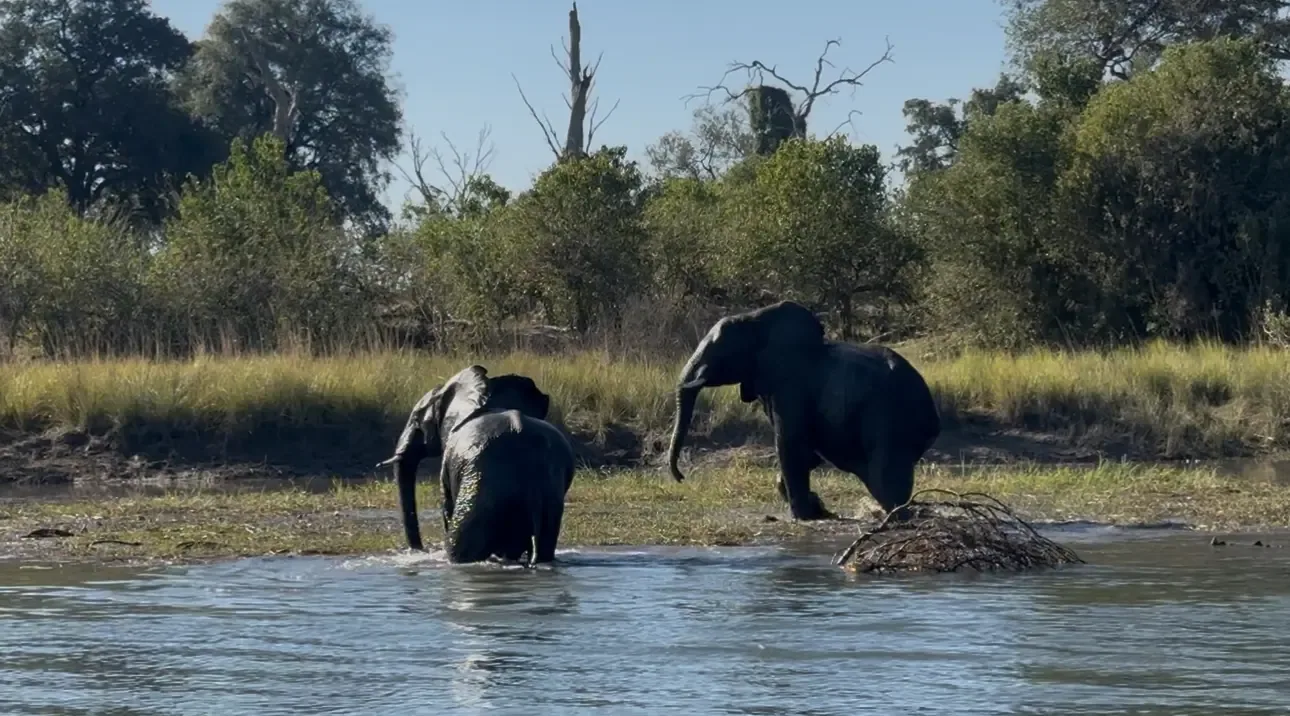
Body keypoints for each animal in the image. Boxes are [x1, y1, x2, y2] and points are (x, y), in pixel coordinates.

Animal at [377, 364, 576, 565]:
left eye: (417, 420)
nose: (419, 549)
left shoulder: (448, 462)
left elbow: (447, 507)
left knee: (460, 545)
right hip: (548, 500)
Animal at [666, 300, 941, 522]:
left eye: (717, 352)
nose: (681, 477)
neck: (757, 319)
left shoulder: (789, 385)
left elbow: (789, 445)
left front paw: (802, 517)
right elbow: (806, 454)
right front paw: (815, 508)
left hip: (890, 415)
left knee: (884, 475)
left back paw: (897, 516)